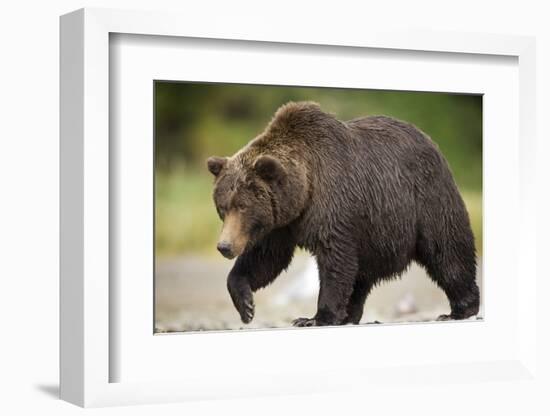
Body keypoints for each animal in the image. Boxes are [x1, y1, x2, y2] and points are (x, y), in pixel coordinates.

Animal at [206, 101, 478, 324]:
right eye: (222, 207)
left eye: (242, 205)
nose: (224, 246)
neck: (304, 191)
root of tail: (431, 141)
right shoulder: (281, 222)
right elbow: (266, 258)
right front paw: (246, 305)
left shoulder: (333, 203)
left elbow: (334, 258)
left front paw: (316, 317)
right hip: (374, 232)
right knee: (361, 275)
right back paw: (350, 314)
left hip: (424, 200)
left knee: (446, 250)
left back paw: (460, 308)